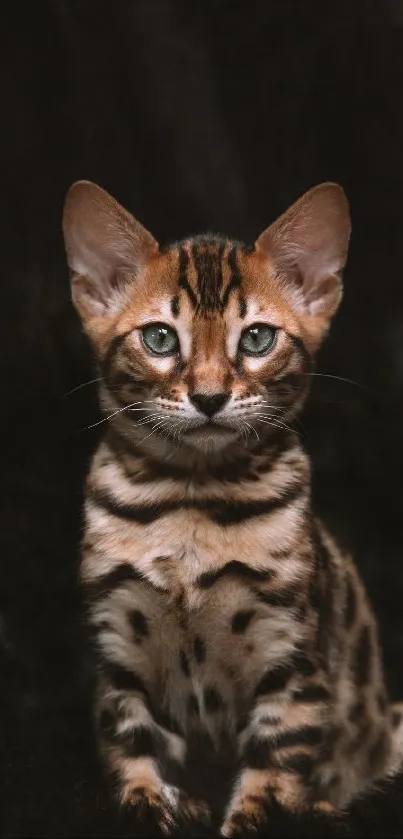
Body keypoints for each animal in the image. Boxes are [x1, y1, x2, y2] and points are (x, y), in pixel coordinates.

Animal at [61, 180, 403, 836]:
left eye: (257, 339)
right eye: (160, 338)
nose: (210, 396)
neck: (190, 503)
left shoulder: (293, 663)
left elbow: (270, 778)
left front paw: (249, 815)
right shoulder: (117, 652)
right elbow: (131, 748)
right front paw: (152, 806)